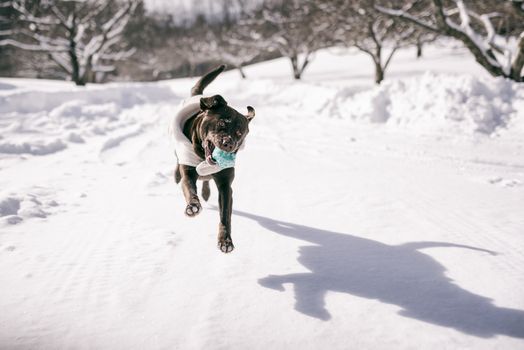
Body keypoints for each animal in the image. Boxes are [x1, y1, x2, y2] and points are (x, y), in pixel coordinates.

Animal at [173, 64, 255, 253]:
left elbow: (225, 215)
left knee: (206, 180)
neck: (202, 159)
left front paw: (225, 240)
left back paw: (206, 191)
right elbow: (190, 189)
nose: (228, 144)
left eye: (239, 133)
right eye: (222, 123)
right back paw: (176, 175)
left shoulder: (225, 185)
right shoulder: (188, 172)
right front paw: (193, 206)